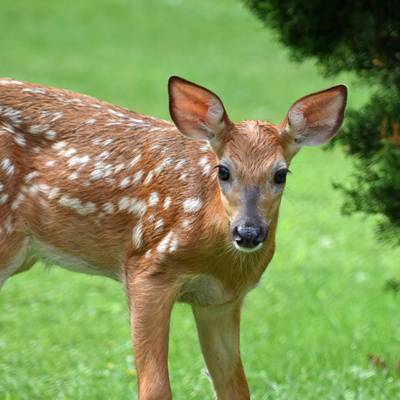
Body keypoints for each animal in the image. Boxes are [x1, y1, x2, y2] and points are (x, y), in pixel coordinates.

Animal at [0, 76, 346, 398]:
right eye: (223, 170)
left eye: (280, 174)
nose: (248, 232)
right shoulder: (147, 269)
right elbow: (155, 388)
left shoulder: (220, 300)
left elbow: (235, 387)